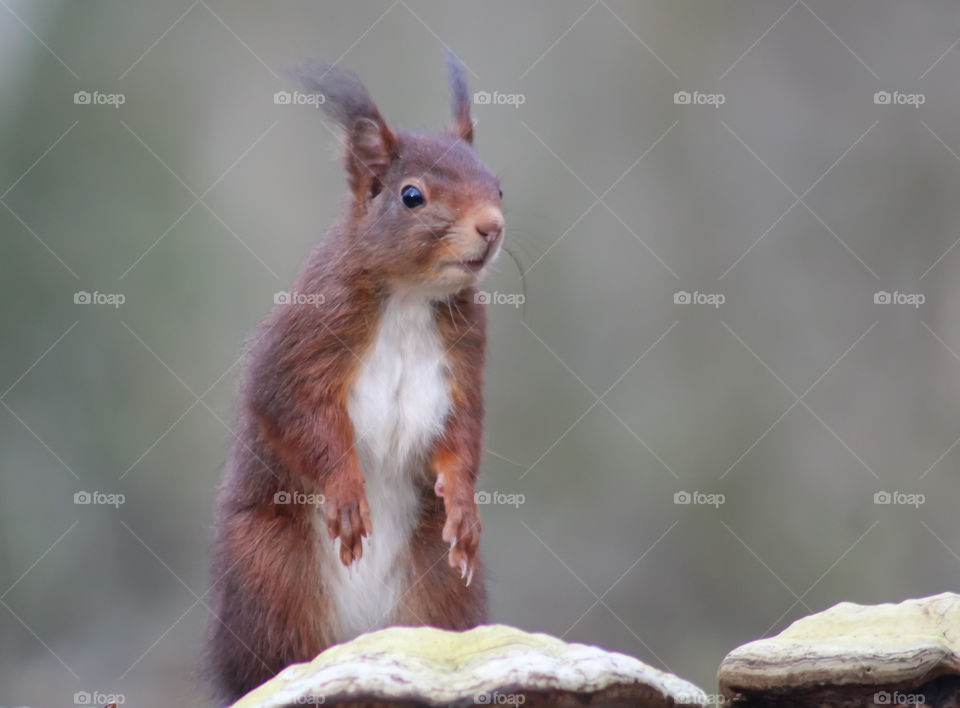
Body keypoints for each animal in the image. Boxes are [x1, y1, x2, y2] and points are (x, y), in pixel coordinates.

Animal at [202, 54, 502, 704]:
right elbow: (291, 408)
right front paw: (345, 492)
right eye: (412, 195)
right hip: (271, 573)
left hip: (439, 588)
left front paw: (463, 507)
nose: (492, 227)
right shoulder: (303, 340)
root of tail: (358, 636)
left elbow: (462, 437)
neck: (411, 297)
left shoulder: (464, 364)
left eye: (498, 185)